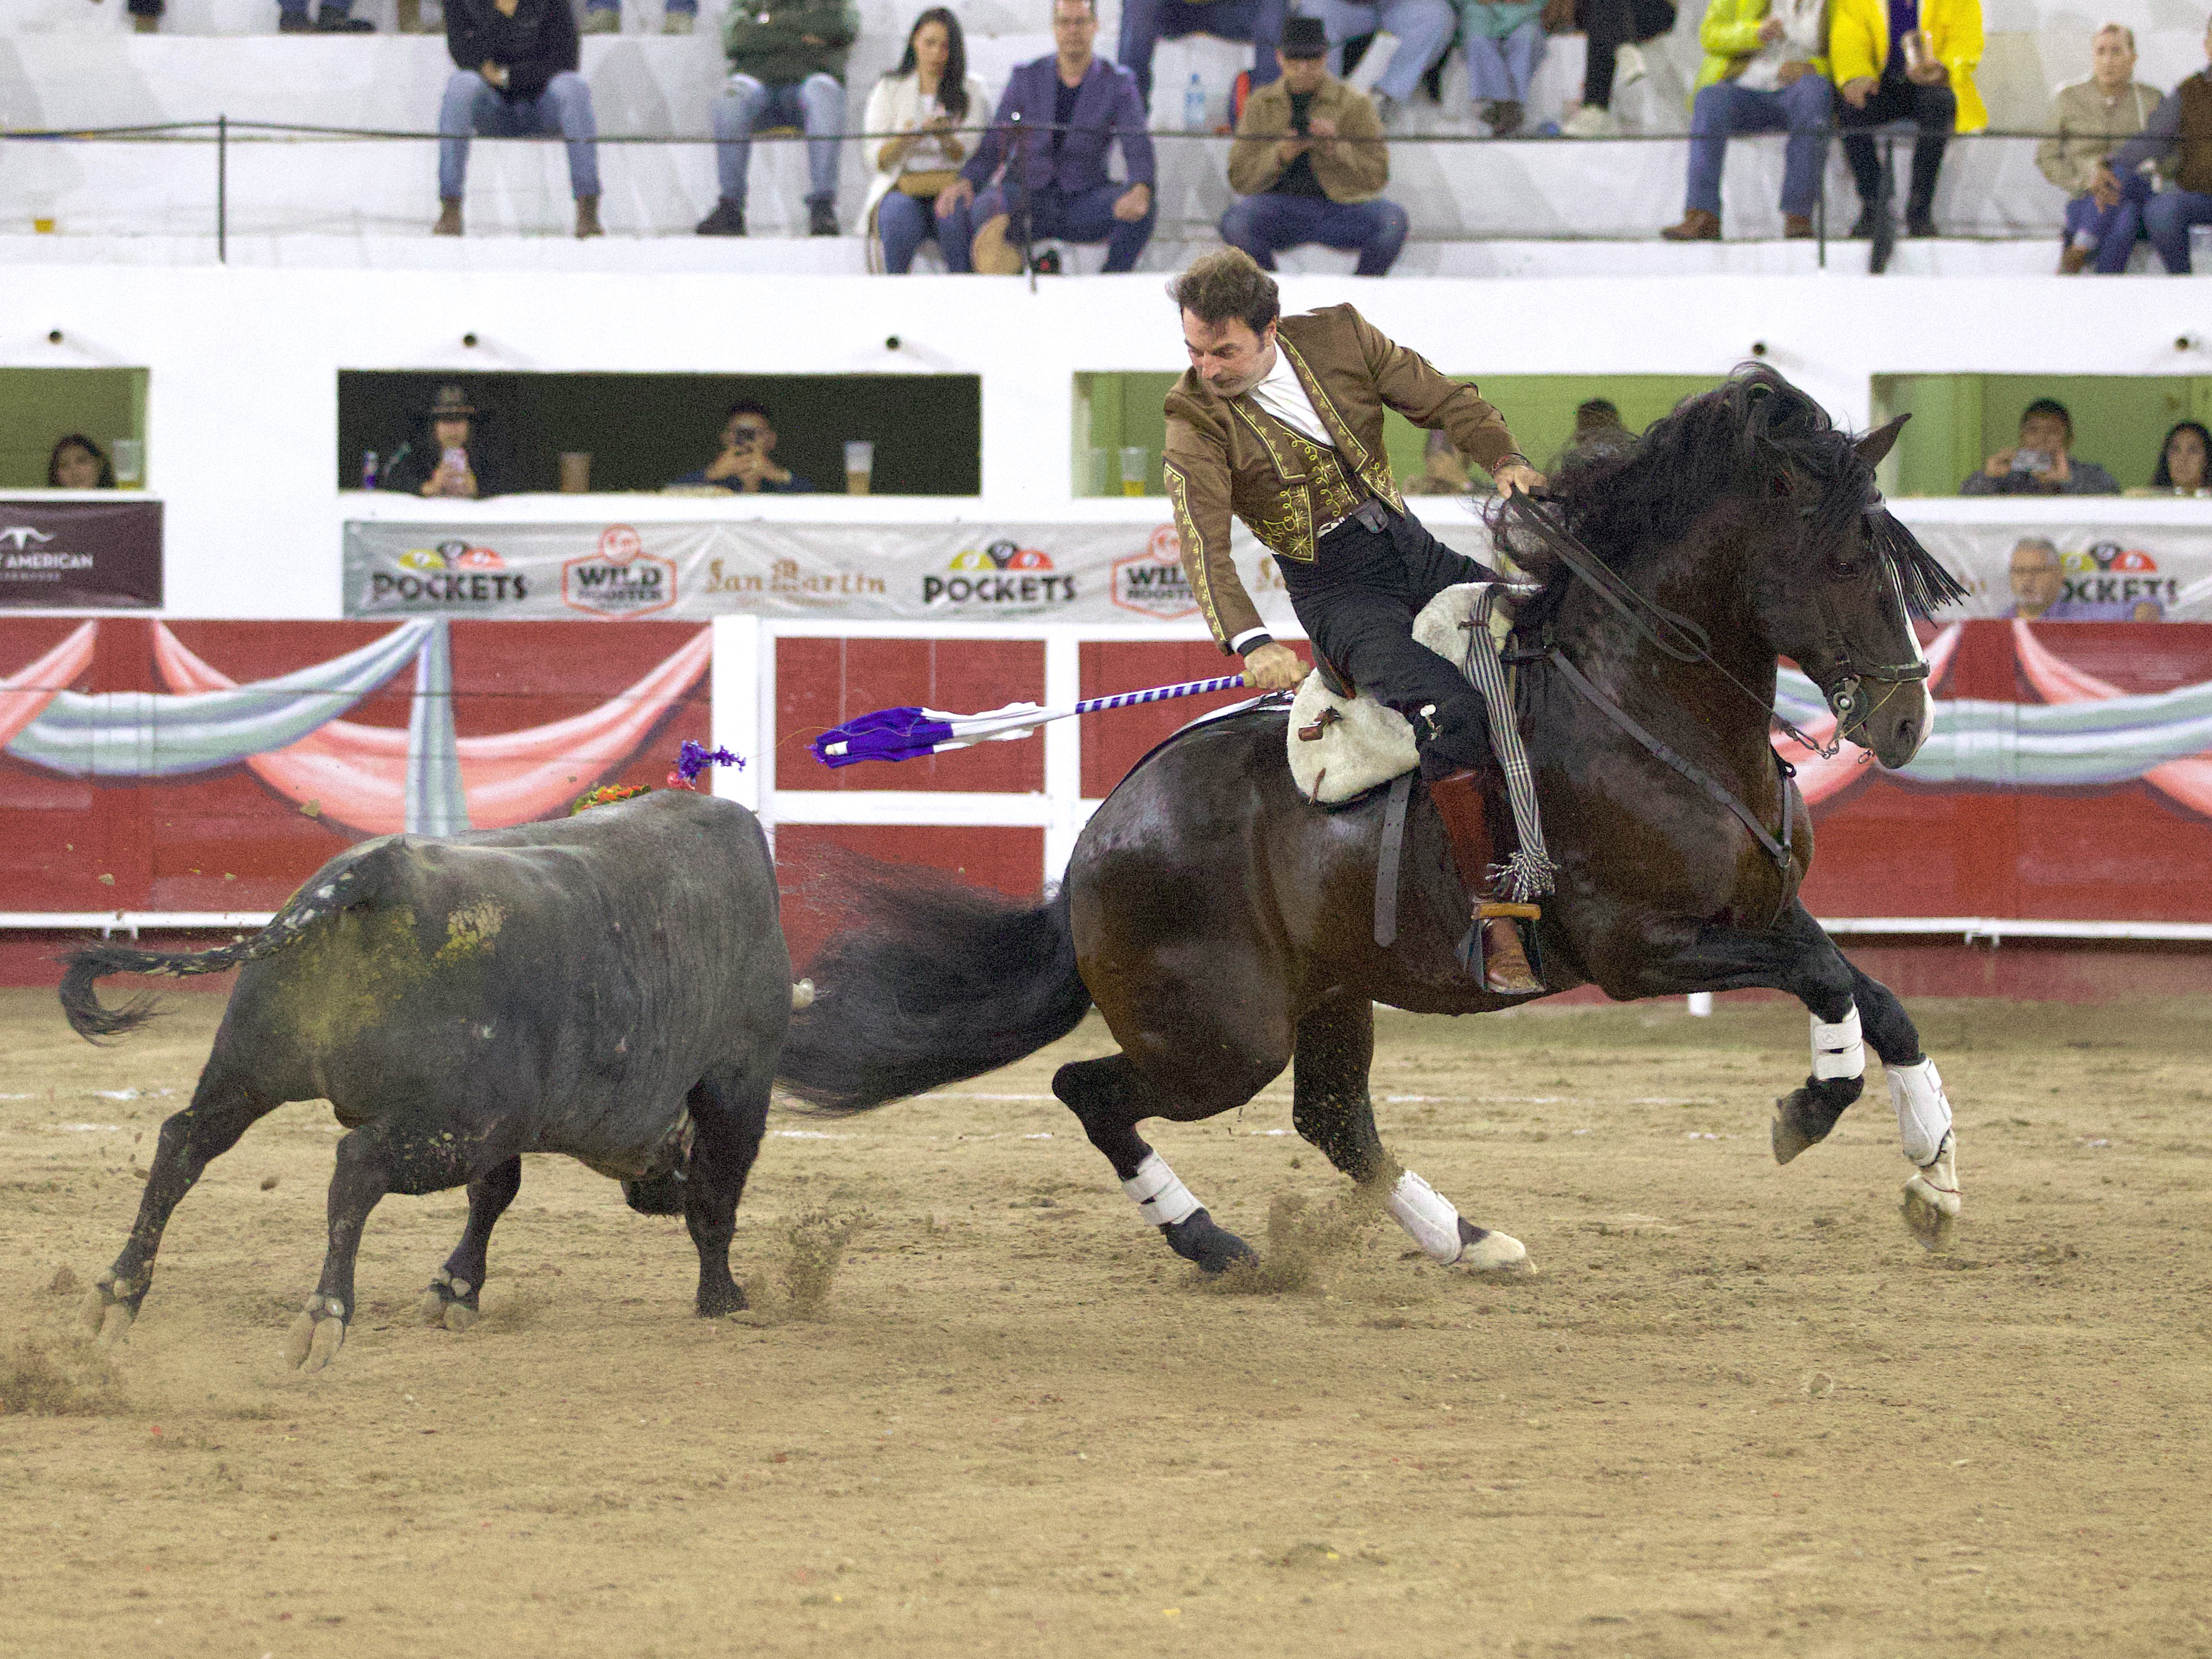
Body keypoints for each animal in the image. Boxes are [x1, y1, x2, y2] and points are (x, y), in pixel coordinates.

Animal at [58, 792, 796, 1380]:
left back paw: (117, 1292)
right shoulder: (738, 1080)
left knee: (183, 1143)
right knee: (357, 1165)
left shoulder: (507, 1128)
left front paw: (456, 1290)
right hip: (452, 1125)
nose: (653, 1194)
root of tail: (375, 873)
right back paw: (324, 1315)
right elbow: (716, 1197)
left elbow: (495, 1192)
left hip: (248, 1073)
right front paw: (725, 1300)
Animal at [779, 367, 1973, 1274]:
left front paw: (1934, 1174)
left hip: (1327, 995)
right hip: (1221, 1038)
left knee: (1331, 1119)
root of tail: (1096, 842)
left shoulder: (1765, 912)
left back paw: (1469, 1240)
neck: (1638, 703)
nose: (1904, 717)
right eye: (1844, 558)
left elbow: (1872, 994)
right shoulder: (1638, 949)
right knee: (1094, 1092)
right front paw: (1806, 1113)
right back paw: (1214, 1244)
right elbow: (1826, 985)